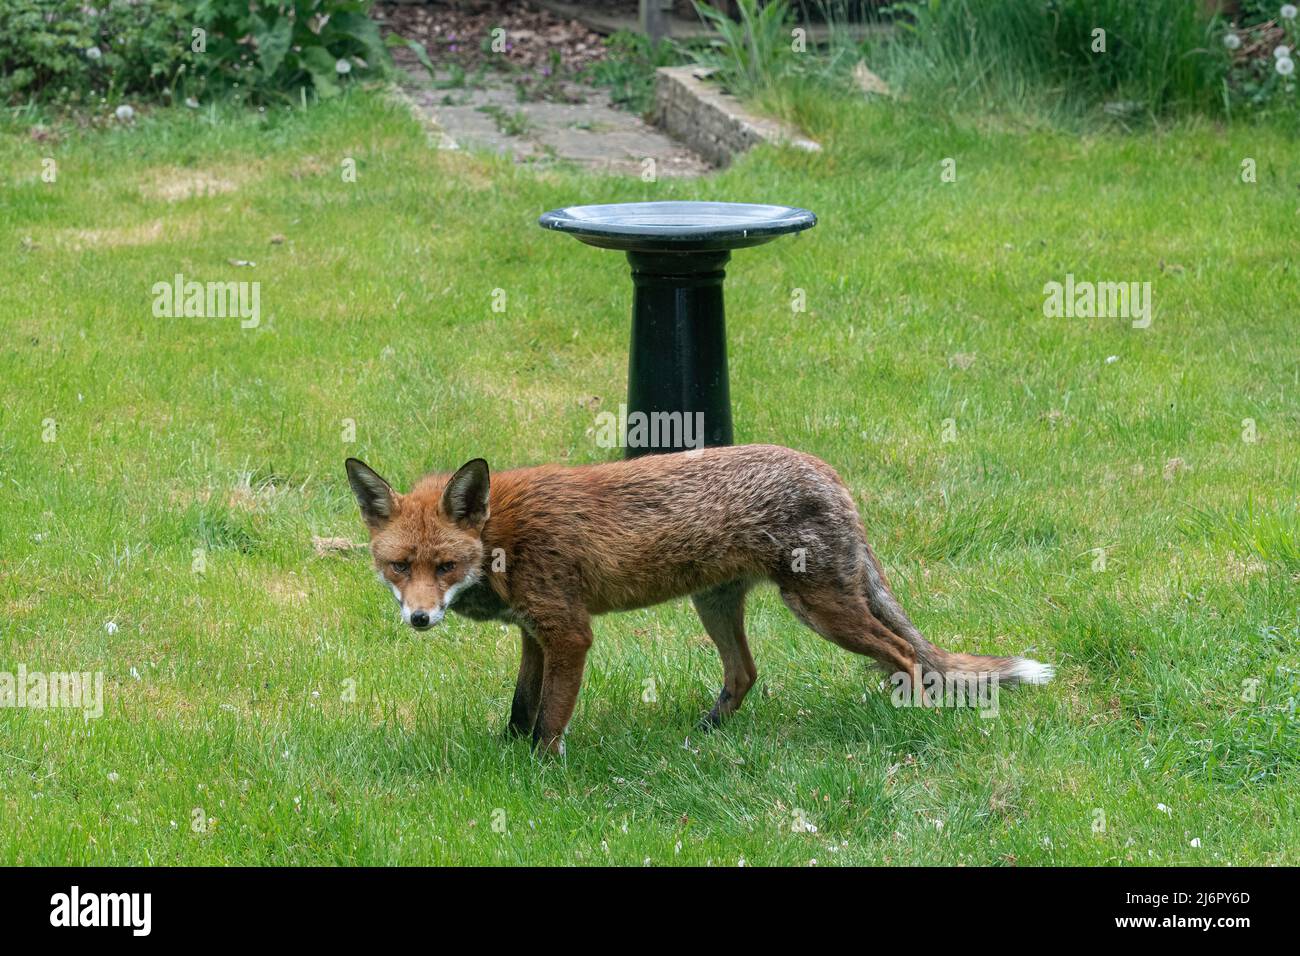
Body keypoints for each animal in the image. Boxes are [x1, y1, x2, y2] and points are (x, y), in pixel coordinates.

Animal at [348, 447, 1055, 754]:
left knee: (905, 657)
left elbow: (549, 721)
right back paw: (705, 735)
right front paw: (508, 756)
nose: (419, 618)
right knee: (746, 673)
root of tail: (825, 468)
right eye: (398, 566)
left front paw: (540, 778)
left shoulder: (570, 633)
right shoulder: (534, 633)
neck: (500, 540)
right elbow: (521, 709)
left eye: (444, 566)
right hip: (715, 607)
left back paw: (910, 725)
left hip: (821, 609)